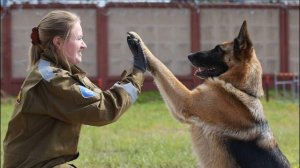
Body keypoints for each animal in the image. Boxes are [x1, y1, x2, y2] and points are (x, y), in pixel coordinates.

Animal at [127, 21, 290, 168]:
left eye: (218, 49)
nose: (189, 55)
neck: (240, 88)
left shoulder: (186, 101)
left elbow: (161, 66)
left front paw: (139, 44)